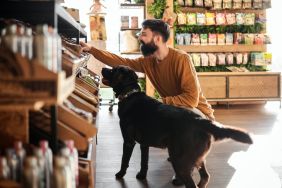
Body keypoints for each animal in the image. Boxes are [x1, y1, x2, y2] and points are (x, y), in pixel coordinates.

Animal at [102, 65, 253, 187]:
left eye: (114, 69)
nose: (103, 68)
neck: (130, 95)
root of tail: (200, 120)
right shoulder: (144, 144)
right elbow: (144, 162)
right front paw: (141, 175)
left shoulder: (128, 141)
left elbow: (124, 160)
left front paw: (120, 174)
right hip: (197, 158)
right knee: (205, 177)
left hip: (180, 160)